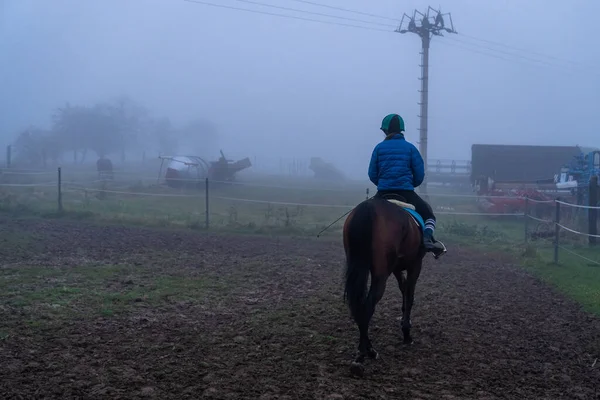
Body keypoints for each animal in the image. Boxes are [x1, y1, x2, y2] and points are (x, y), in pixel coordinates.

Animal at [342, 194, 446, 378]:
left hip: (358, 267)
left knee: (359, 306)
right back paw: (364, 354)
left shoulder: (397, 268)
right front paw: (406, 333)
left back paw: (367, 350)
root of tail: (369, 208)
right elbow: (409, 294)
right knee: (368, 306)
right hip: (381, 274)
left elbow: (403, 289)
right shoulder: (415, 266)